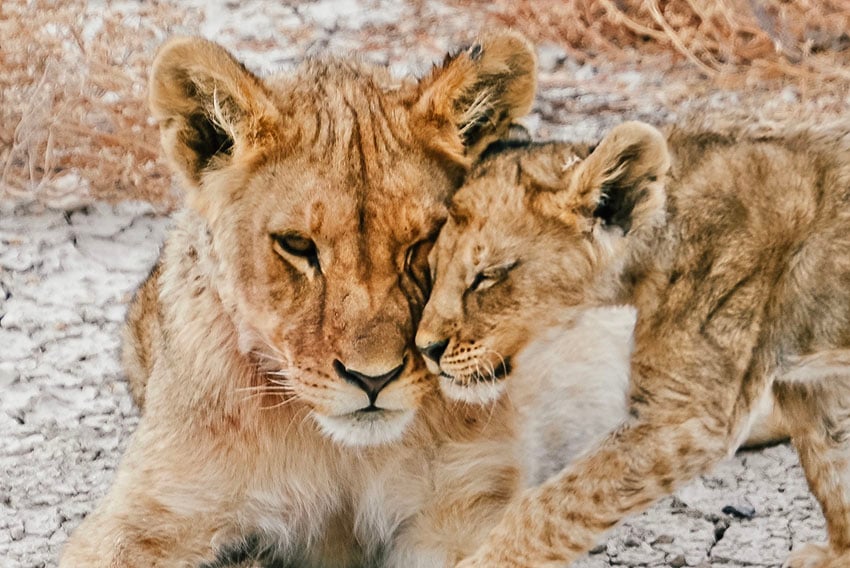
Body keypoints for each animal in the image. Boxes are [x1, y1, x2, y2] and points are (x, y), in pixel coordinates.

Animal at [59, 35, 536, 568]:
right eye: (298, 245)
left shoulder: (467, 502)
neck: (343, 452)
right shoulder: (152, 512)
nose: (374, 379)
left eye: (425, 242)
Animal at [418, 122, 848, 564]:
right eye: (432, 269)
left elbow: (550, 506)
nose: (425, 348)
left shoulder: (686, 415)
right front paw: (840, 555)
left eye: (487, 275)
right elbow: (832, 468)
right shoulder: (808, 384)